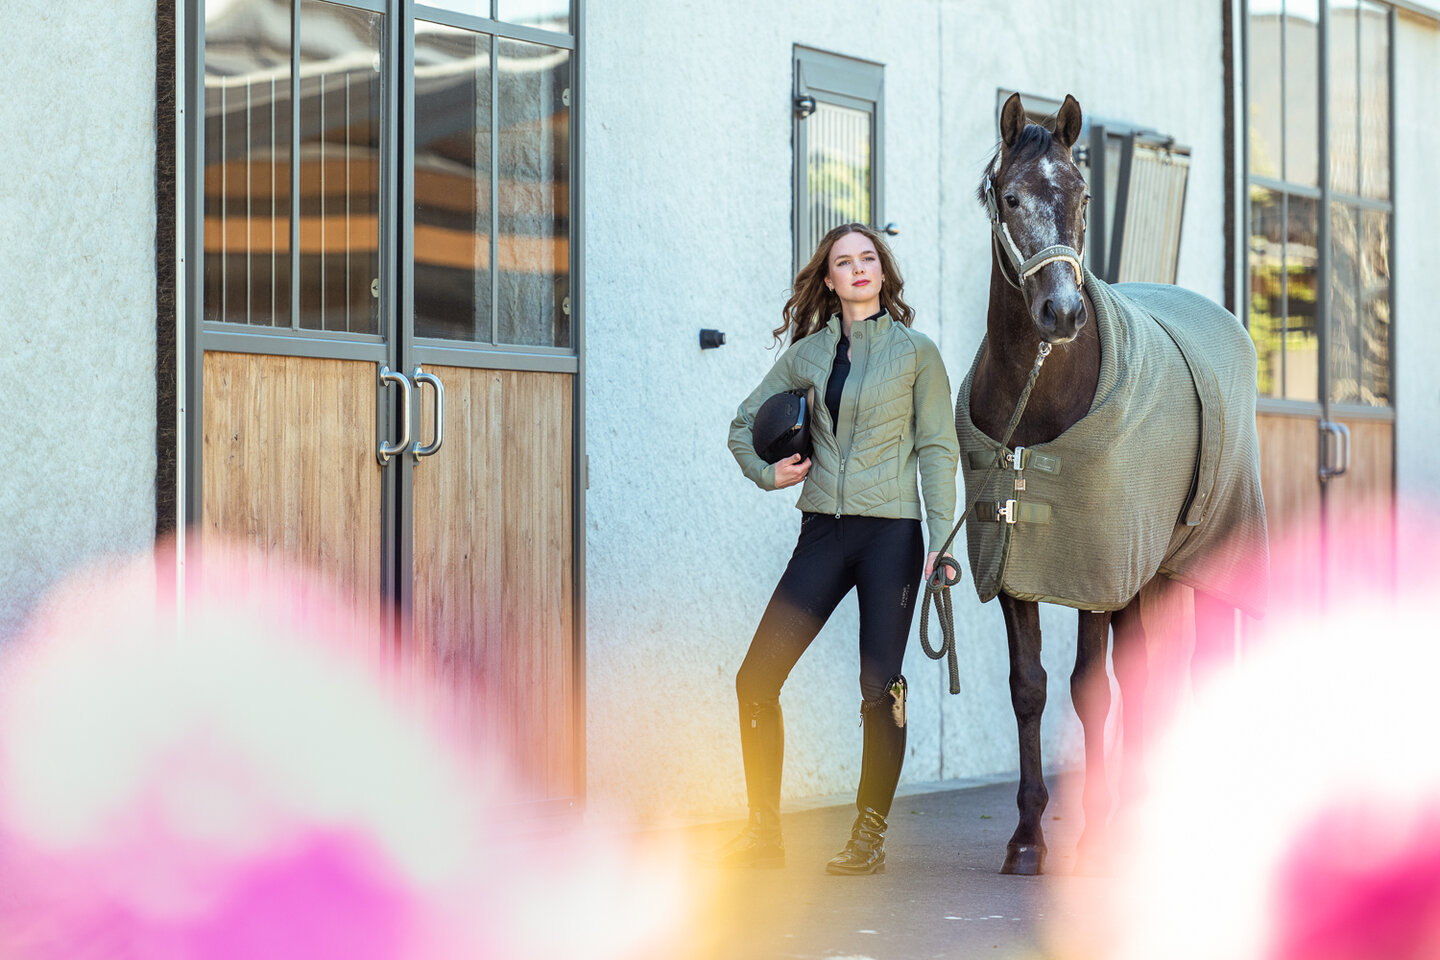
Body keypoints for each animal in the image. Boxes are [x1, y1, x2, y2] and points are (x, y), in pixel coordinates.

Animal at [956, 93, 1269, 875]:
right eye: (1009, 196)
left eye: (1083, 196)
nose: (1063, 312)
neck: (1038, 400)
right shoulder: (1018, 563)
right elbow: (1030, 689)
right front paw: (1028, 836)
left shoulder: (1094, 567)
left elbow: (1090, 689)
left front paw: (1095, 833)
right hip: (1147, 570)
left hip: (1196, 558)